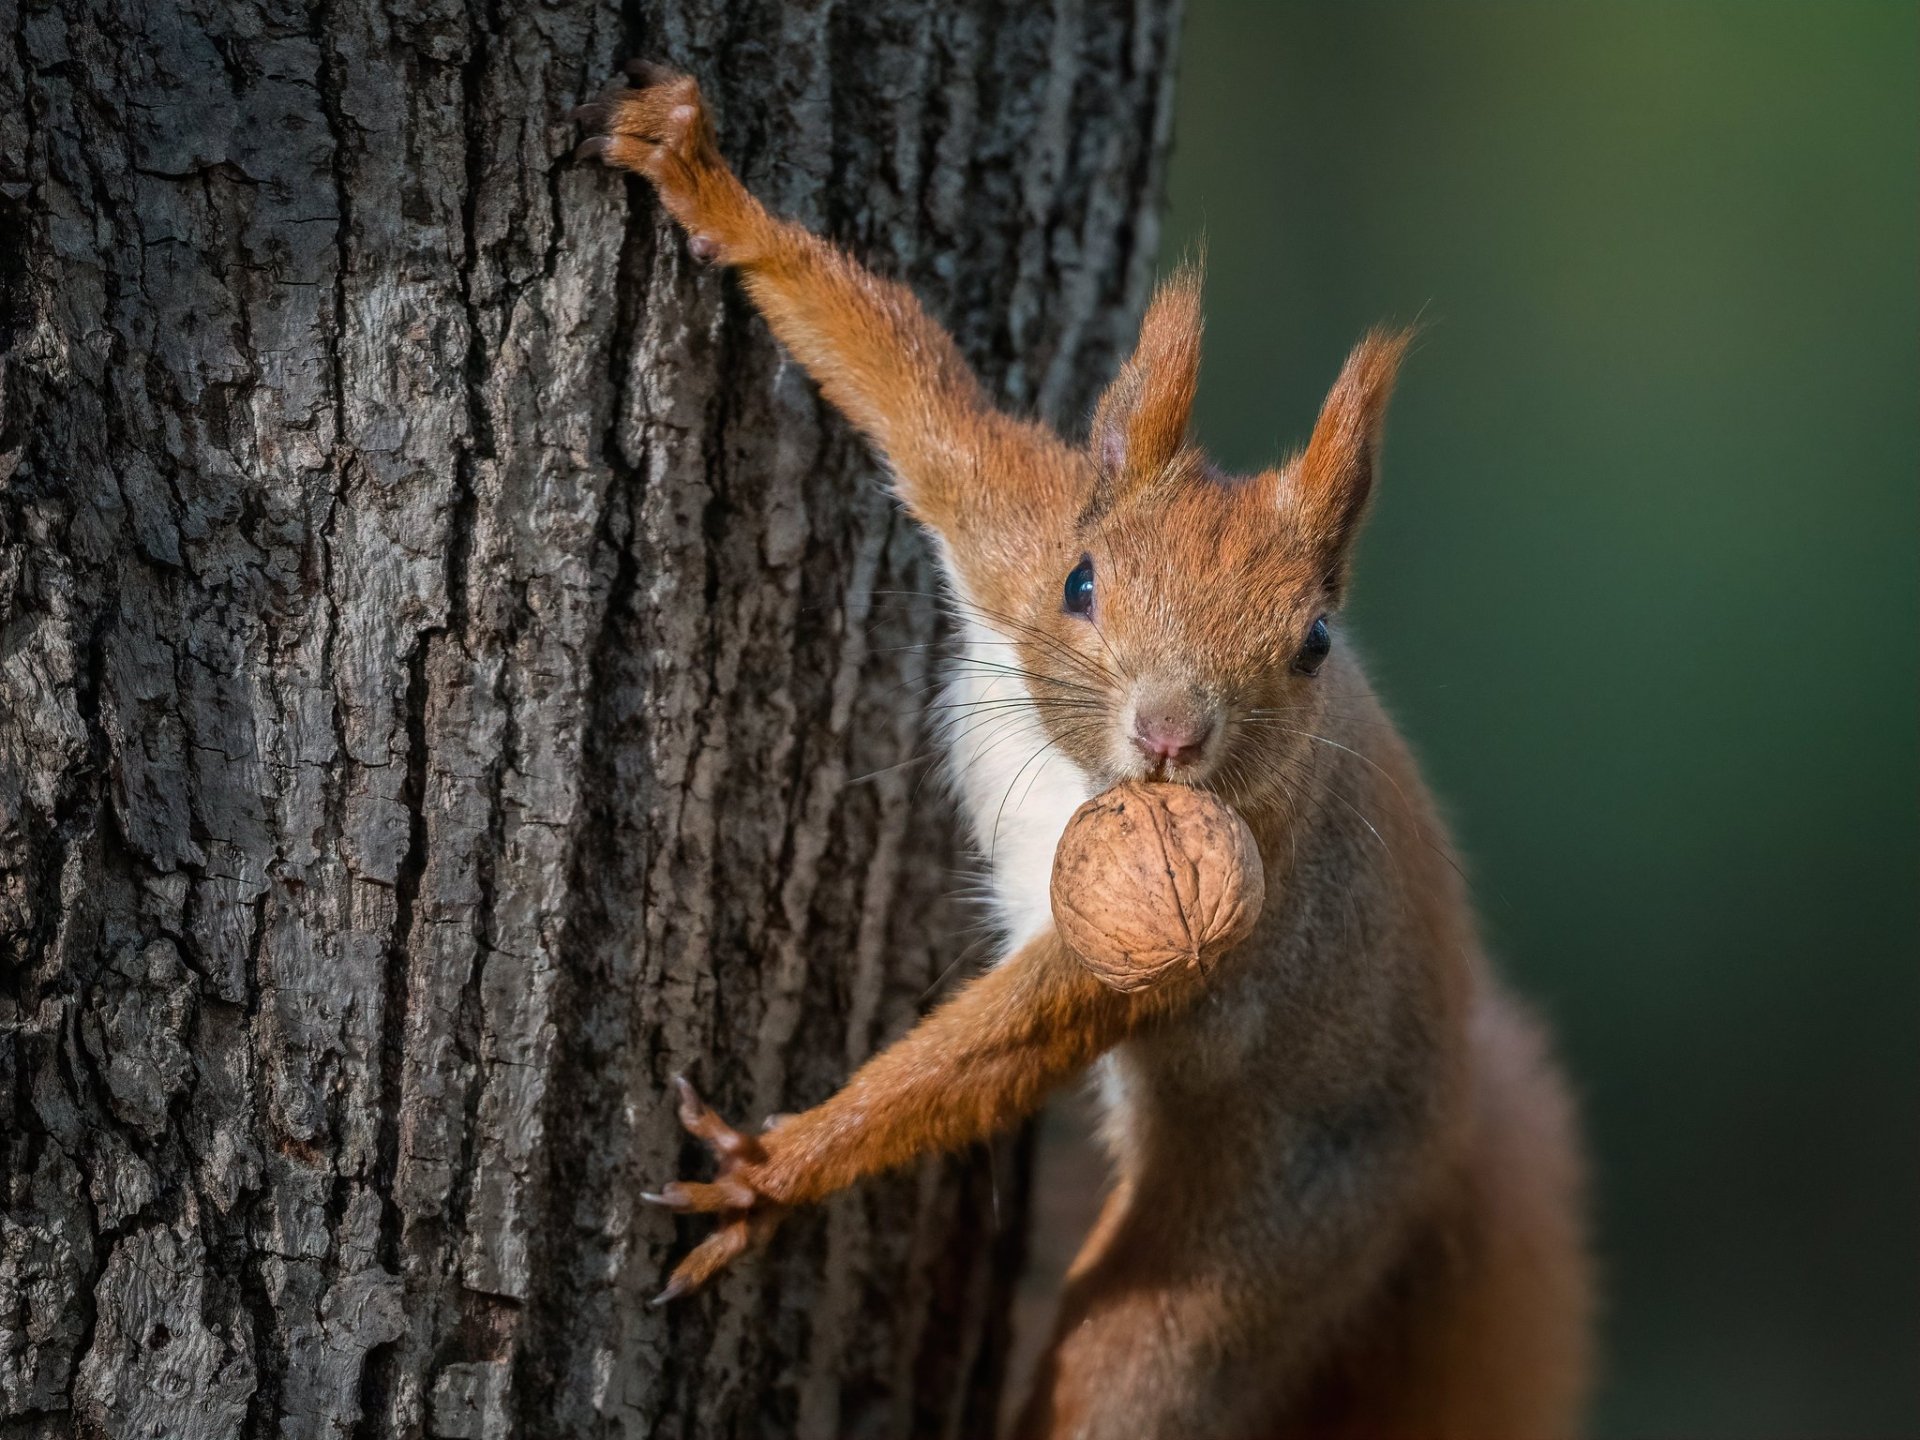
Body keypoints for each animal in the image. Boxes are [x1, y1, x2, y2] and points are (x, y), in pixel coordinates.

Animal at [575, 63, 1591, 1440]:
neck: (1085, 781)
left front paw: (773, 1174)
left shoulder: (1205, 905)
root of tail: (1442, 1154)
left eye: (1316, 642)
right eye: (1082, 581)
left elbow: (1005, 1046)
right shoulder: (1005, 517)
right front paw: (705, 182)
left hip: (1239, 1263)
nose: (1171, 733)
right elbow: (912, 391)